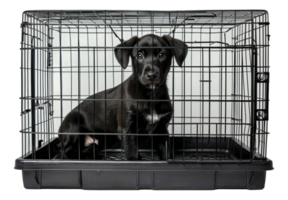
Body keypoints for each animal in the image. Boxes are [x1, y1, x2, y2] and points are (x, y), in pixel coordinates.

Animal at [58, 34, 189, 159]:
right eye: (139, 56)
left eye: (162, 55)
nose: (151, 75)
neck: (151, 95)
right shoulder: (127, 130)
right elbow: (133, 157)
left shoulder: (161, 130)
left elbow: (167, 154)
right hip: (73, 125)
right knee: (66, 153)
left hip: (106, 138)